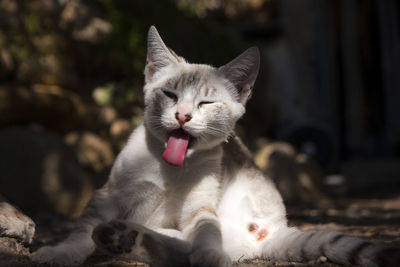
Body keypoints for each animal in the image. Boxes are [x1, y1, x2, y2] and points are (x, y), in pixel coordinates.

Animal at [32, 25, 398, 267]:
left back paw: (130, 238)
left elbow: (207, 231)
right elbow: (81, 231)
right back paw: (121, 237)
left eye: (206, 103)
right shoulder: (107, 196)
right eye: (170, 94)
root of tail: (274, 229)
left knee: (183, 246)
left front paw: (207, 252)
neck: (170, 170)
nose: (181, 115)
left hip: (225, 235)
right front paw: (58, 253)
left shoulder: (200, 209)